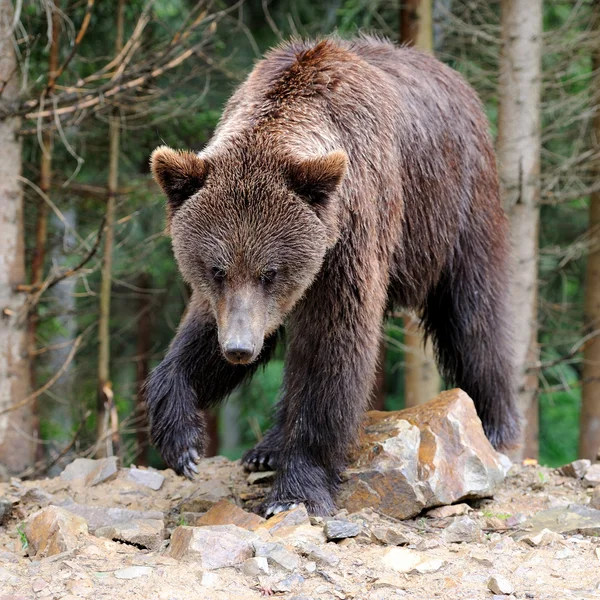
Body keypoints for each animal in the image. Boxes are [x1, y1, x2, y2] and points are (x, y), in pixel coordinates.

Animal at [146, 36, 520, 516]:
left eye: (271, 271)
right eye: (216, 268)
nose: (239, 349)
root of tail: (455, 77)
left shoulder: (350, 238)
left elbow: (332, 349)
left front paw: (296, 491)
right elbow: (199, 334)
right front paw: (182, 440)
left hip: (456, 204)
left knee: (473, 312)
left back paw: (496, 427)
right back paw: (265, 448)